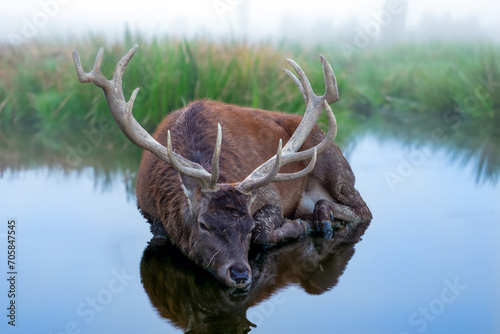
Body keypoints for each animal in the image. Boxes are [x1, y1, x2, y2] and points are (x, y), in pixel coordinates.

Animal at [73, 44, 372, 290]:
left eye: (248, 227)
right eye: (203, 225)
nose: (240, 275)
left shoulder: (270, 197)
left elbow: (264, 233)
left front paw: (297, 226)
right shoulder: (148, 212)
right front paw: (298, 225)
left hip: (333, 160)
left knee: (363, 209)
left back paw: (321, 218)